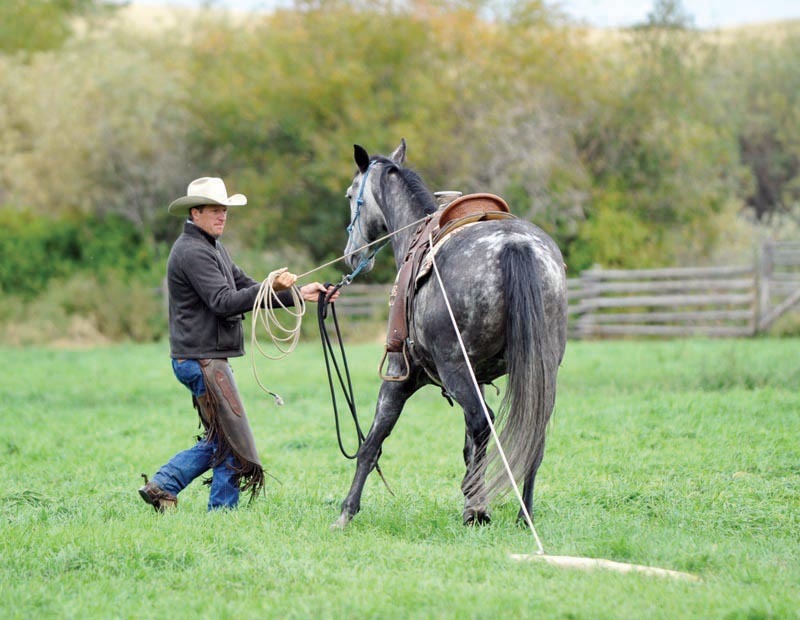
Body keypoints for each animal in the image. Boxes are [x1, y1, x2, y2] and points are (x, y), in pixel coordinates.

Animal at [332, 139, 567, 529]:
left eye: (352, 195)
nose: (351, 254)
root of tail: (514, 245)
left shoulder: (398, 376)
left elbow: (372, 442)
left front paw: (346, 511)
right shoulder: (480, 378)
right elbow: (470, 447)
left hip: (455, 369)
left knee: (483, 422)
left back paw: (479, 510)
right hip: (539, 369)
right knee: (531, 432)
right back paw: (522, 514)